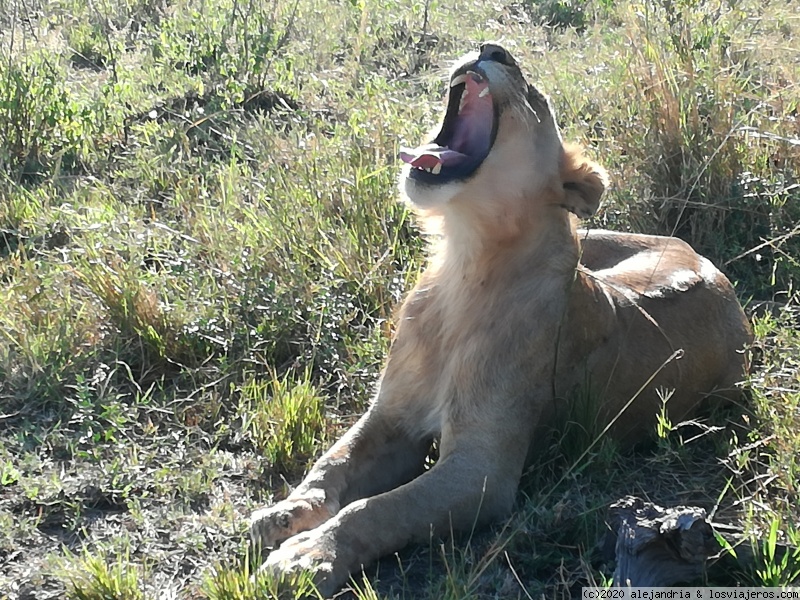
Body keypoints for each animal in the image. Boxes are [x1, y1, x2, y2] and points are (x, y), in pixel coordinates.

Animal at [247, 43, 752, 596]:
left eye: (536, 96)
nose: (493, 48)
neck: (462, 265)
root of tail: (705, 261)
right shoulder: (392, 416)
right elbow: (333, 463)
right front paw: (286, 513)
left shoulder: (482, 472)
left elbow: (381, 508)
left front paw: (308, 557)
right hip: (595, 240)